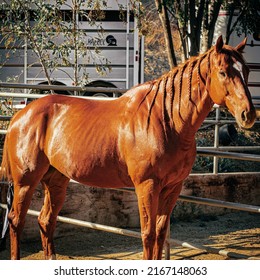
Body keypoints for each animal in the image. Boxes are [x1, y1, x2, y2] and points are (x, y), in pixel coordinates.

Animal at [0, 36, 256, 260]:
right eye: (223, 72)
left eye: (246, 71)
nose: (249, 115)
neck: (166, 120)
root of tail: (20, 116)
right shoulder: (147, 186)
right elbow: (148, 234)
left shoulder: (172, 188)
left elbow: (160, 233)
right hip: (26, 181)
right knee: (16, 220)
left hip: (56, 180)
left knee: (46, 220)